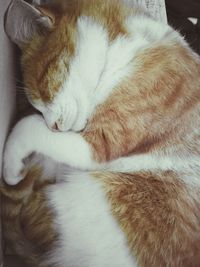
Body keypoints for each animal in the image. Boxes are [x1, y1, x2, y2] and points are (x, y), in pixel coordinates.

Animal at [1, 0, 200, 266]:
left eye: (43, 91)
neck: (122, 51)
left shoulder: (101, 144)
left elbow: (28, 126)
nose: (53, 126)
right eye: (36, 104)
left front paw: (11, 168)